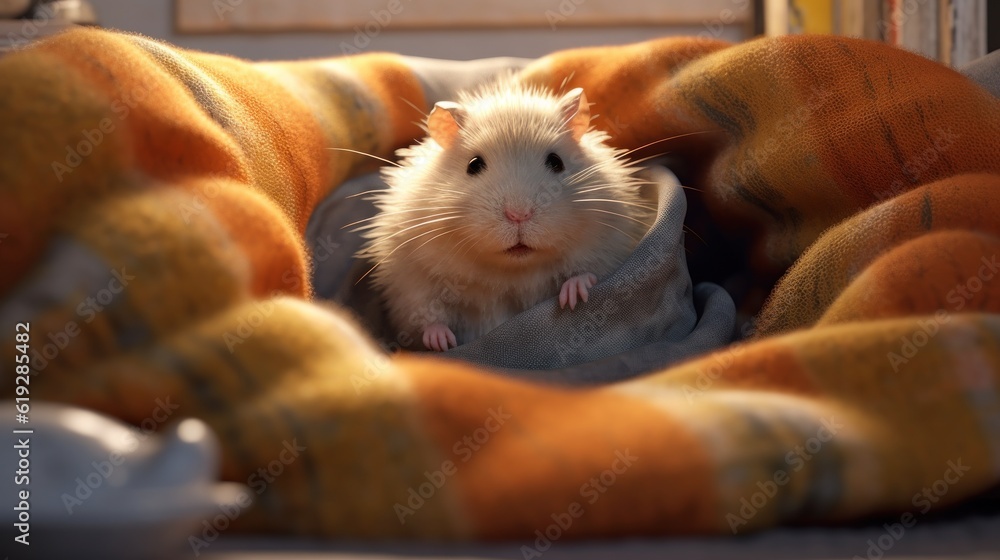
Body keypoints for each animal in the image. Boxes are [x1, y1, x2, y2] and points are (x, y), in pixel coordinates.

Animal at [358, 77, 653, 351]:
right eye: (474, 165)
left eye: (556, 162)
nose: (518, 215)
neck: (512, 271)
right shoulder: (410, 277)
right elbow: (425, 315)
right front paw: (443, 343)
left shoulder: (609, 243)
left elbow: (590, 271)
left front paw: (574, 297)